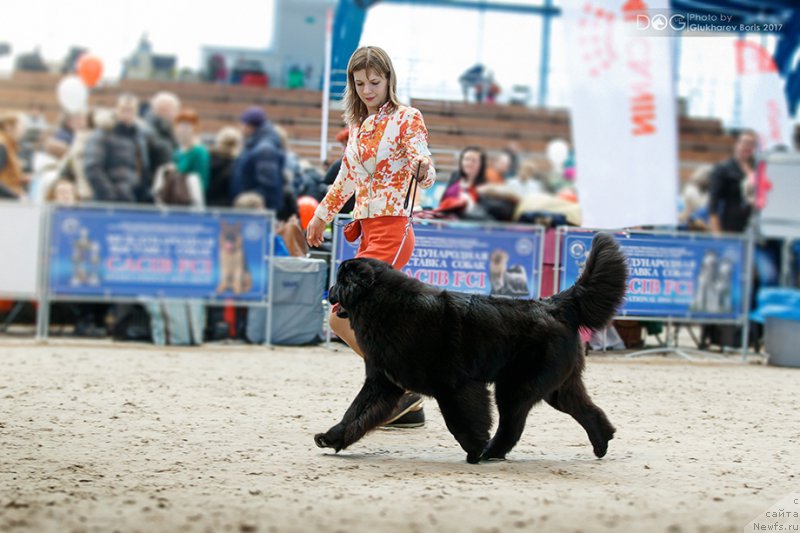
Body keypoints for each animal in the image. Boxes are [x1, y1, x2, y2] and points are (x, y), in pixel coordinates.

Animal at [316, 233, 628, 462]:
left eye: (341, 280)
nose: (329, 289)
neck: (386, 305)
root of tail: (554, 304)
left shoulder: (454, 386)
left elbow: (462, 422)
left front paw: (475, 449)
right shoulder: (382, 383)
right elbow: (356, 413)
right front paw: (331, 438)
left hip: (516, 386)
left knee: (512, 425)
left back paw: (490, 452)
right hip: (557, 387)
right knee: (585, 410)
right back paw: (602, 443)